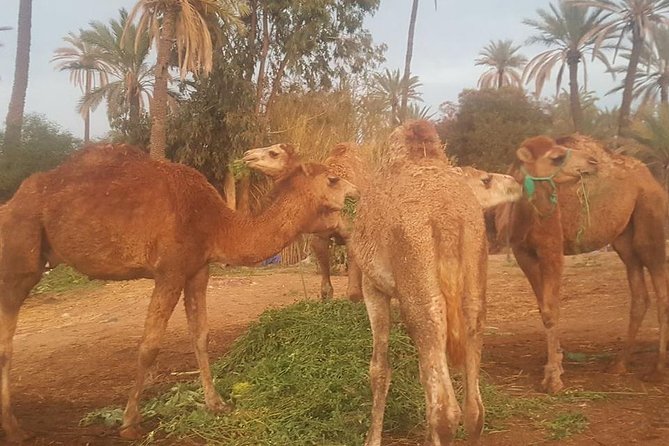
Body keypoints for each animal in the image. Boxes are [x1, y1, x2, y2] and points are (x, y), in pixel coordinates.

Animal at [0, 144, 357, 442]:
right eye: (332, 179)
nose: (358, 193)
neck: (216, 222)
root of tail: (11, 203)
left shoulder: (197, 270)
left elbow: (200, 336)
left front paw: (217, 404)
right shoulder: (169, 271)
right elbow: (149, 345)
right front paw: (130, 423)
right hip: (19, 260)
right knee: (7, 342)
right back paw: (15, 429)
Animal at [243, 143, 522, 302]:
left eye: (273, 152)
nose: (246, 156)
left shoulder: (354, 235)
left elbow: (354, 292)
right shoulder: (319, 238)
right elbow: (326, 287)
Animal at [498, 134, 668, 394]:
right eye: (556, 157)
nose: (592, 162)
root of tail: (650, 177)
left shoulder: (551, 249)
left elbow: (551, 309)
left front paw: (553, 379)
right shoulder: (522, 254)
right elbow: (542, 307)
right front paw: (557, 363)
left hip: (650, 220)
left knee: (661, 289)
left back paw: (657, 369)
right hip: (624, 238)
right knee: (639, 294)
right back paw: (619, 364)